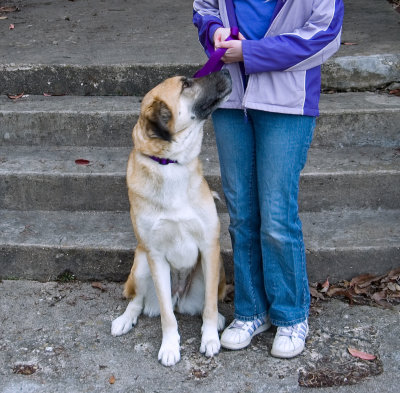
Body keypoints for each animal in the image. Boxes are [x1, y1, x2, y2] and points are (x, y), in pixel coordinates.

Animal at [111, 69, 233, 364]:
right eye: (186, 84)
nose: (226, 69)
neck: (171, 164)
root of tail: (180, 298)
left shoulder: (209, 247)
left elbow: (209, 306)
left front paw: (209, 338)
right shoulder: (155, 255)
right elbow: (167, 316)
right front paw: (169, 346)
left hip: (216, 269)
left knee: (208, 303)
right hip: (141, 263)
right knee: (139, 301)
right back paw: (125, 319)